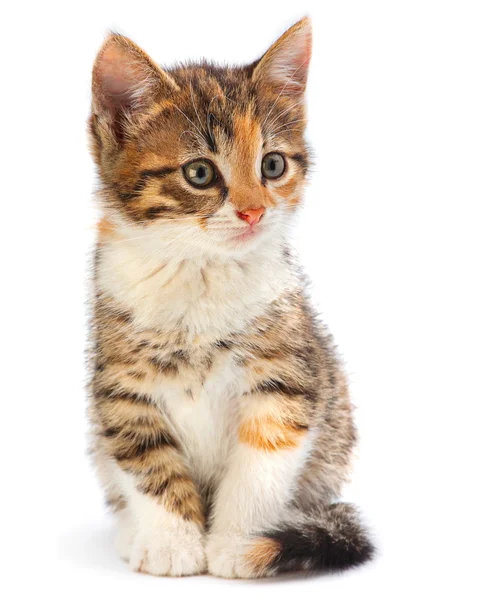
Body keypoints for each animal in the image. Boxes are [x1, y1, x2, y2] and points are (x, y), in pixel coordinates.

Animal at [88, 16, 374, 576]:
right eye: (199, 173)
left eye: (272, 165)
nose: (253, 211)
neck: (200, 270)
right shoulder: (121, 386)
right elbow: (145, 457)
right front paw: (172, 542)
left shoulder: (287, 375)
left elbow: (263, 460)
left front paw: (240, 541)